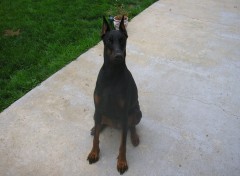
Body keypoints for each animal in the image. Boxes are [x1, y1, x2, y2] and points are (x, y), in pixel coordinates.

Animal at [87, 16, 142, 175]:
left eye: (122, 40)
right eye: (109, 41)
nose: (118, 56)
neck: (112, 74)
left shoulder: (123, 114)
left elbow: (122, 144)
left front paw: (122, 162)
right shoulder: (98, 107)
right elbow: (96, 139)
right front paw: (94, 153)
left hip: (137, 112)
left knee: (131, 126)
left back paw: (134, 137)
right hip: (98, 113)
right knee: (100, 124)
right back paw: (95, 127)